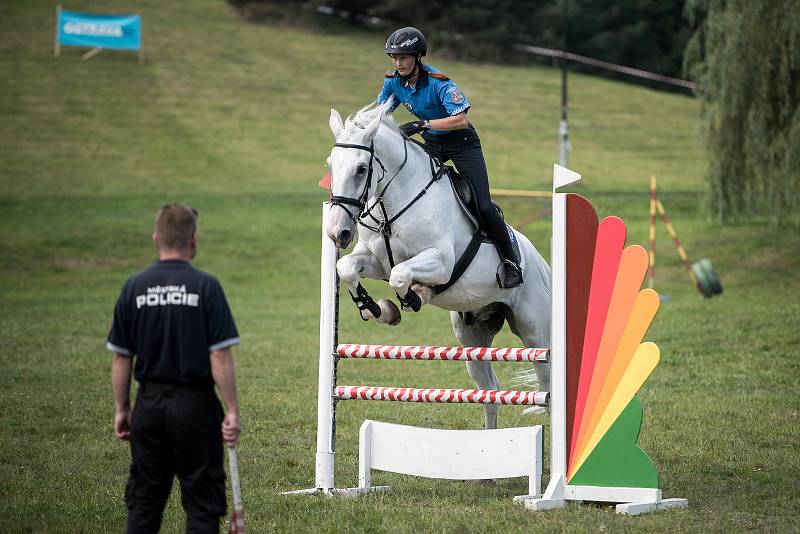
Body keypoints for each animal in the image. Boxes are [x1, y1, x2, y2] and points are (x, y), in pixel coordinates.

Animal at [324, 102, 552, 432]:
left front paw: (414, 296)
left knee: (548, 390)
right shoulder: (376, 262)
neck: (395, 203)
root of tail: (542, 264)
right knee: (490, 391)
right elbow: (347, 267)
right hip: (472, 338)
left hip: (536, 335)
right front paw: (378, 309)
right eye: (330, 165)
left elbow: (400, 276)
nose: (337, 232)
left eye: (361, 169)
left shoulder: (440, 263)